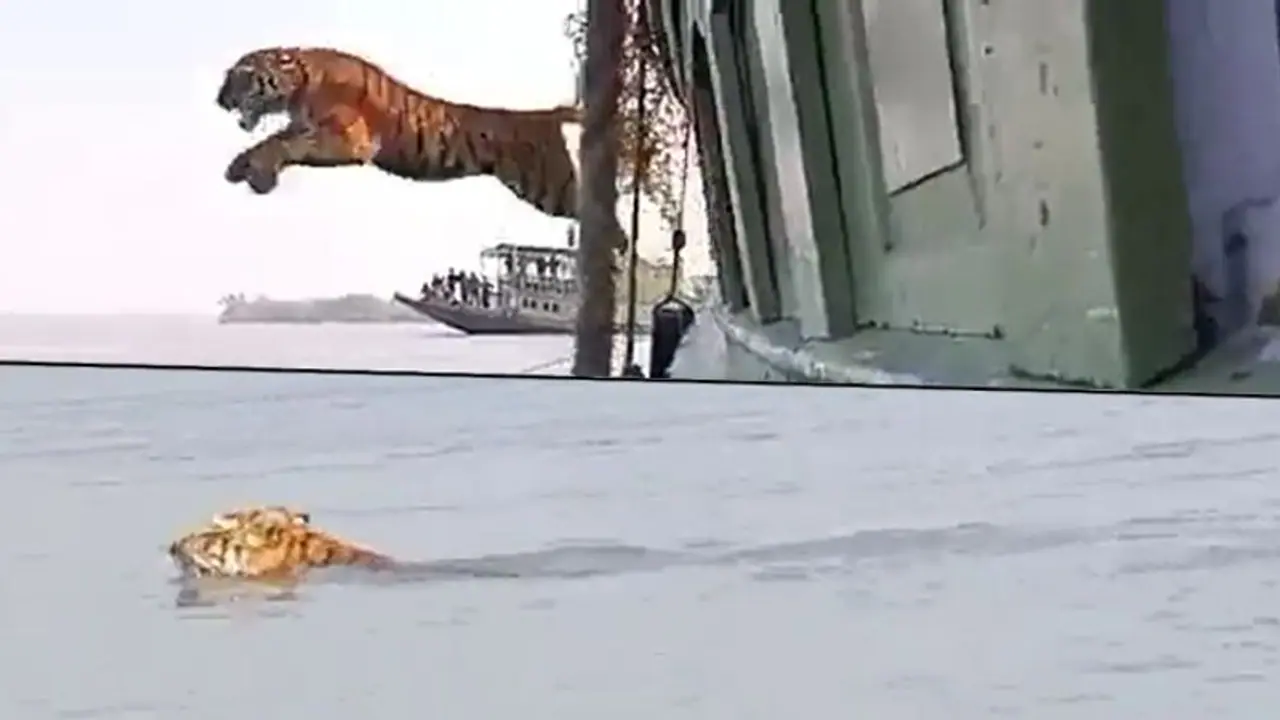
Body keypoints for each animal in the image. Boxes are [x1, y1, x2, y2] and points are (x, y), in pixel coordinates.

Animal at [215, 46, 606, 230]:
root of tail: (548, 113)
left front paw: (258, 176)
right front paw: (238, 168)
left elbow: (281, 143)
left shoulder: (347, 140)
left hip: (551, 188)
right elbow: (269, 140)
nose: (219, 101)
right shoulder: (304, 125)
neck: (299, 84)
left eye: (237, 76)